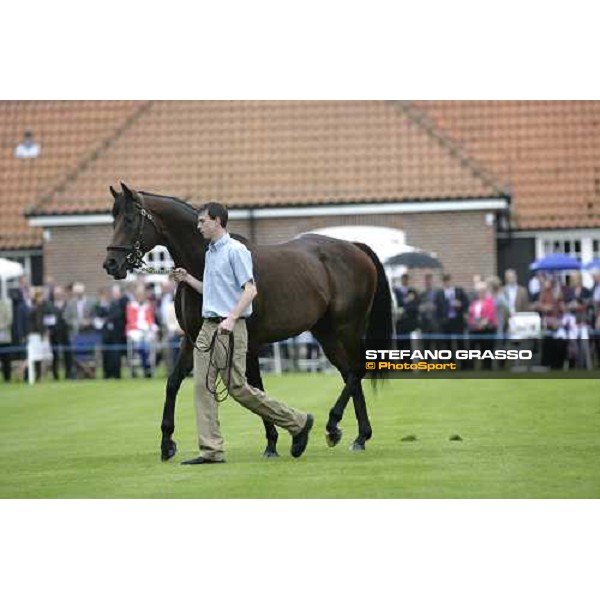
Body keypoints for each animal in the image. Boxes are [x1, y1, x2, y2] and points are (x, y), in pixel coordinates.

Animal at [103, 183, 394, 460]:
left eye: (129, 219)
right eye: (113, 219)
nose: (111, 264)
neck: (203, 265)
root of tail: (355, 247)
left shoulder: (247, 342)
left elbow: (254, 386)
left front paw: (273, 442)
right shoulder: (193, 339)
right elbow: (174, 382)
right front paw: (167, 443)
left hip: (347, 328)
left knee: (357, 369)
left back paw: (334, 425)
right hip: (326, 333)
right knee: (348, 373)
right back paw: (360, 436)